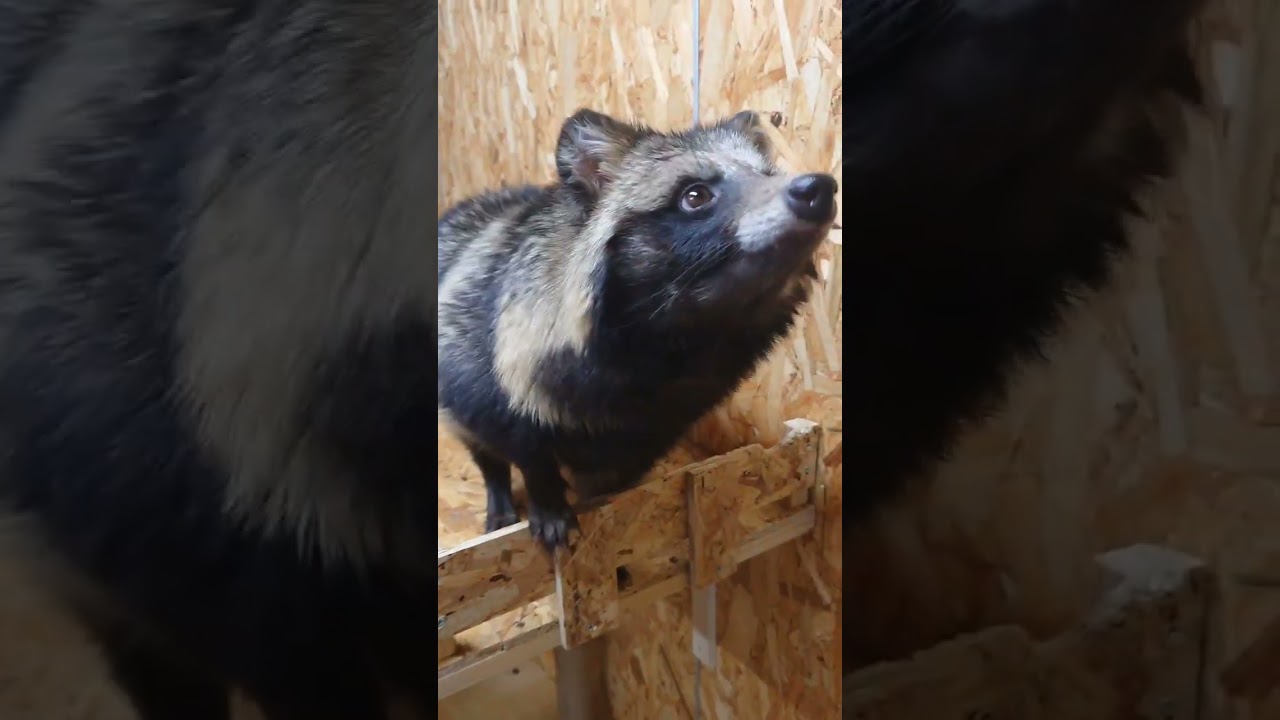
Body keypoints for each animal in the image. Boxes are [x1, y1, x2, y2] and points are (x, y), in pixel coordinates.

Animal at [438, 109, 838, 550]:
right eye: (695, 195)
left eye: (766, 173)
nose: (818, 187)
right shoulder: (498, 370)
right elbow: (526, 447)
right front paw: (547, 498)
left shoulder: (662, 423)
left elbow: (618, 477)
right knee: (483, 449)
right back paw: (499, 492)